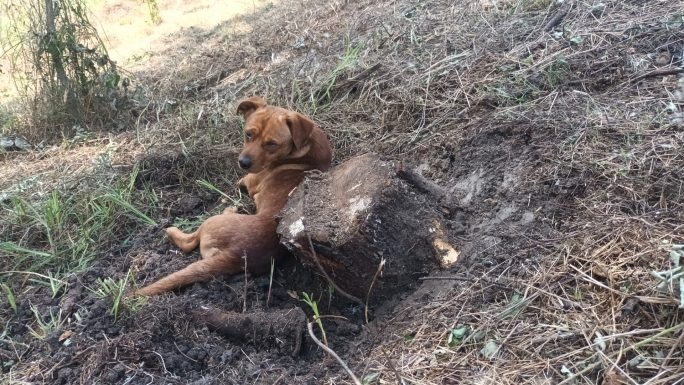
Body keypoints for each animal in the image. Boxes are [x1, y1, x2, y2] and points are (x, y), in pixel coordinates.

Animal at [135, 97, 332, 296]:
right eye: (248, 134)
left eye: (272, 144)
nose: (243, 163)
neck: (303, 149)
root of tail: (236, 255)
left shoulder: (248, 180)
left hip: (211, 222)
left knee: (188, 242)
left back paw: (178, 228)